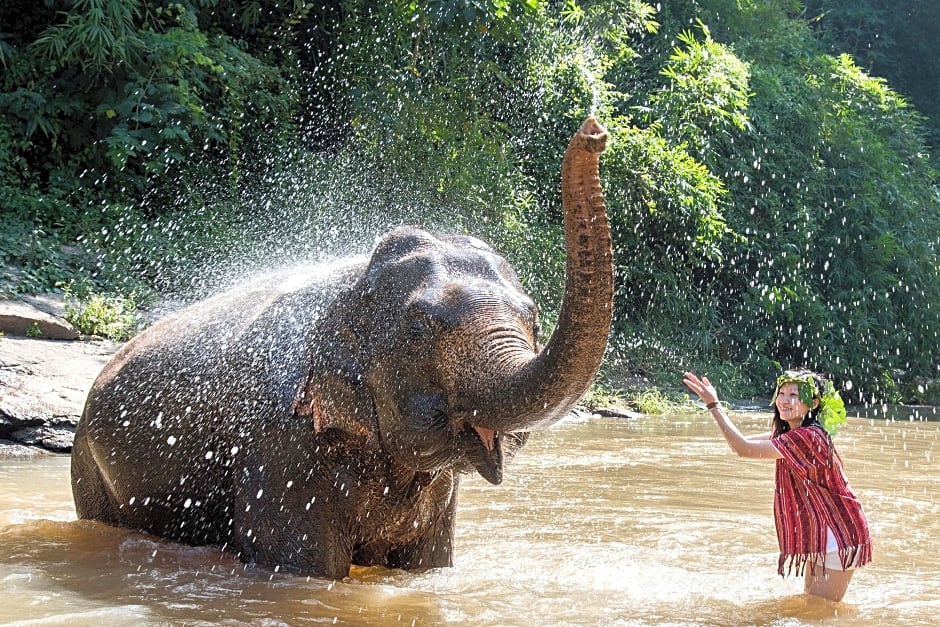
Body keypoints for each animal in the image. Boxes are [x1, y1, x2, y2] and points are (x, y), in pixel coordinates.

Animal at [71, 117, 613, 579]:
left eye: (533, 318)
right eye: (418, 327)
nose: (594, 132)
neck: (350, 289)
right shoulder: (281, 451)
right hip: (88, 468)